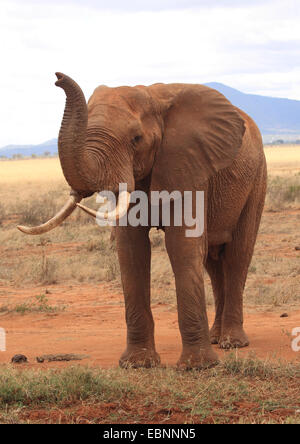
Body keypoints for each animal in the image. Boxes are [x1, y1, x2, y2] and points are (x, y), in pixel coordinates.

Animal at [18, 73, 268, 372]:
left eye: (136, 139)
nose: (57, 78)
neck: (153, 98)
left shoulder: (187, 166)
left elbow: (182, 245)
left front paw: (197, 367)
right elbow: (131, 249)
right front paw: (138, 364)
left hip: (257, 178)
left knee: (237, 256)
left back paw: (233, 343)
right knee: (213, 262)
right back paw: (216, 338)